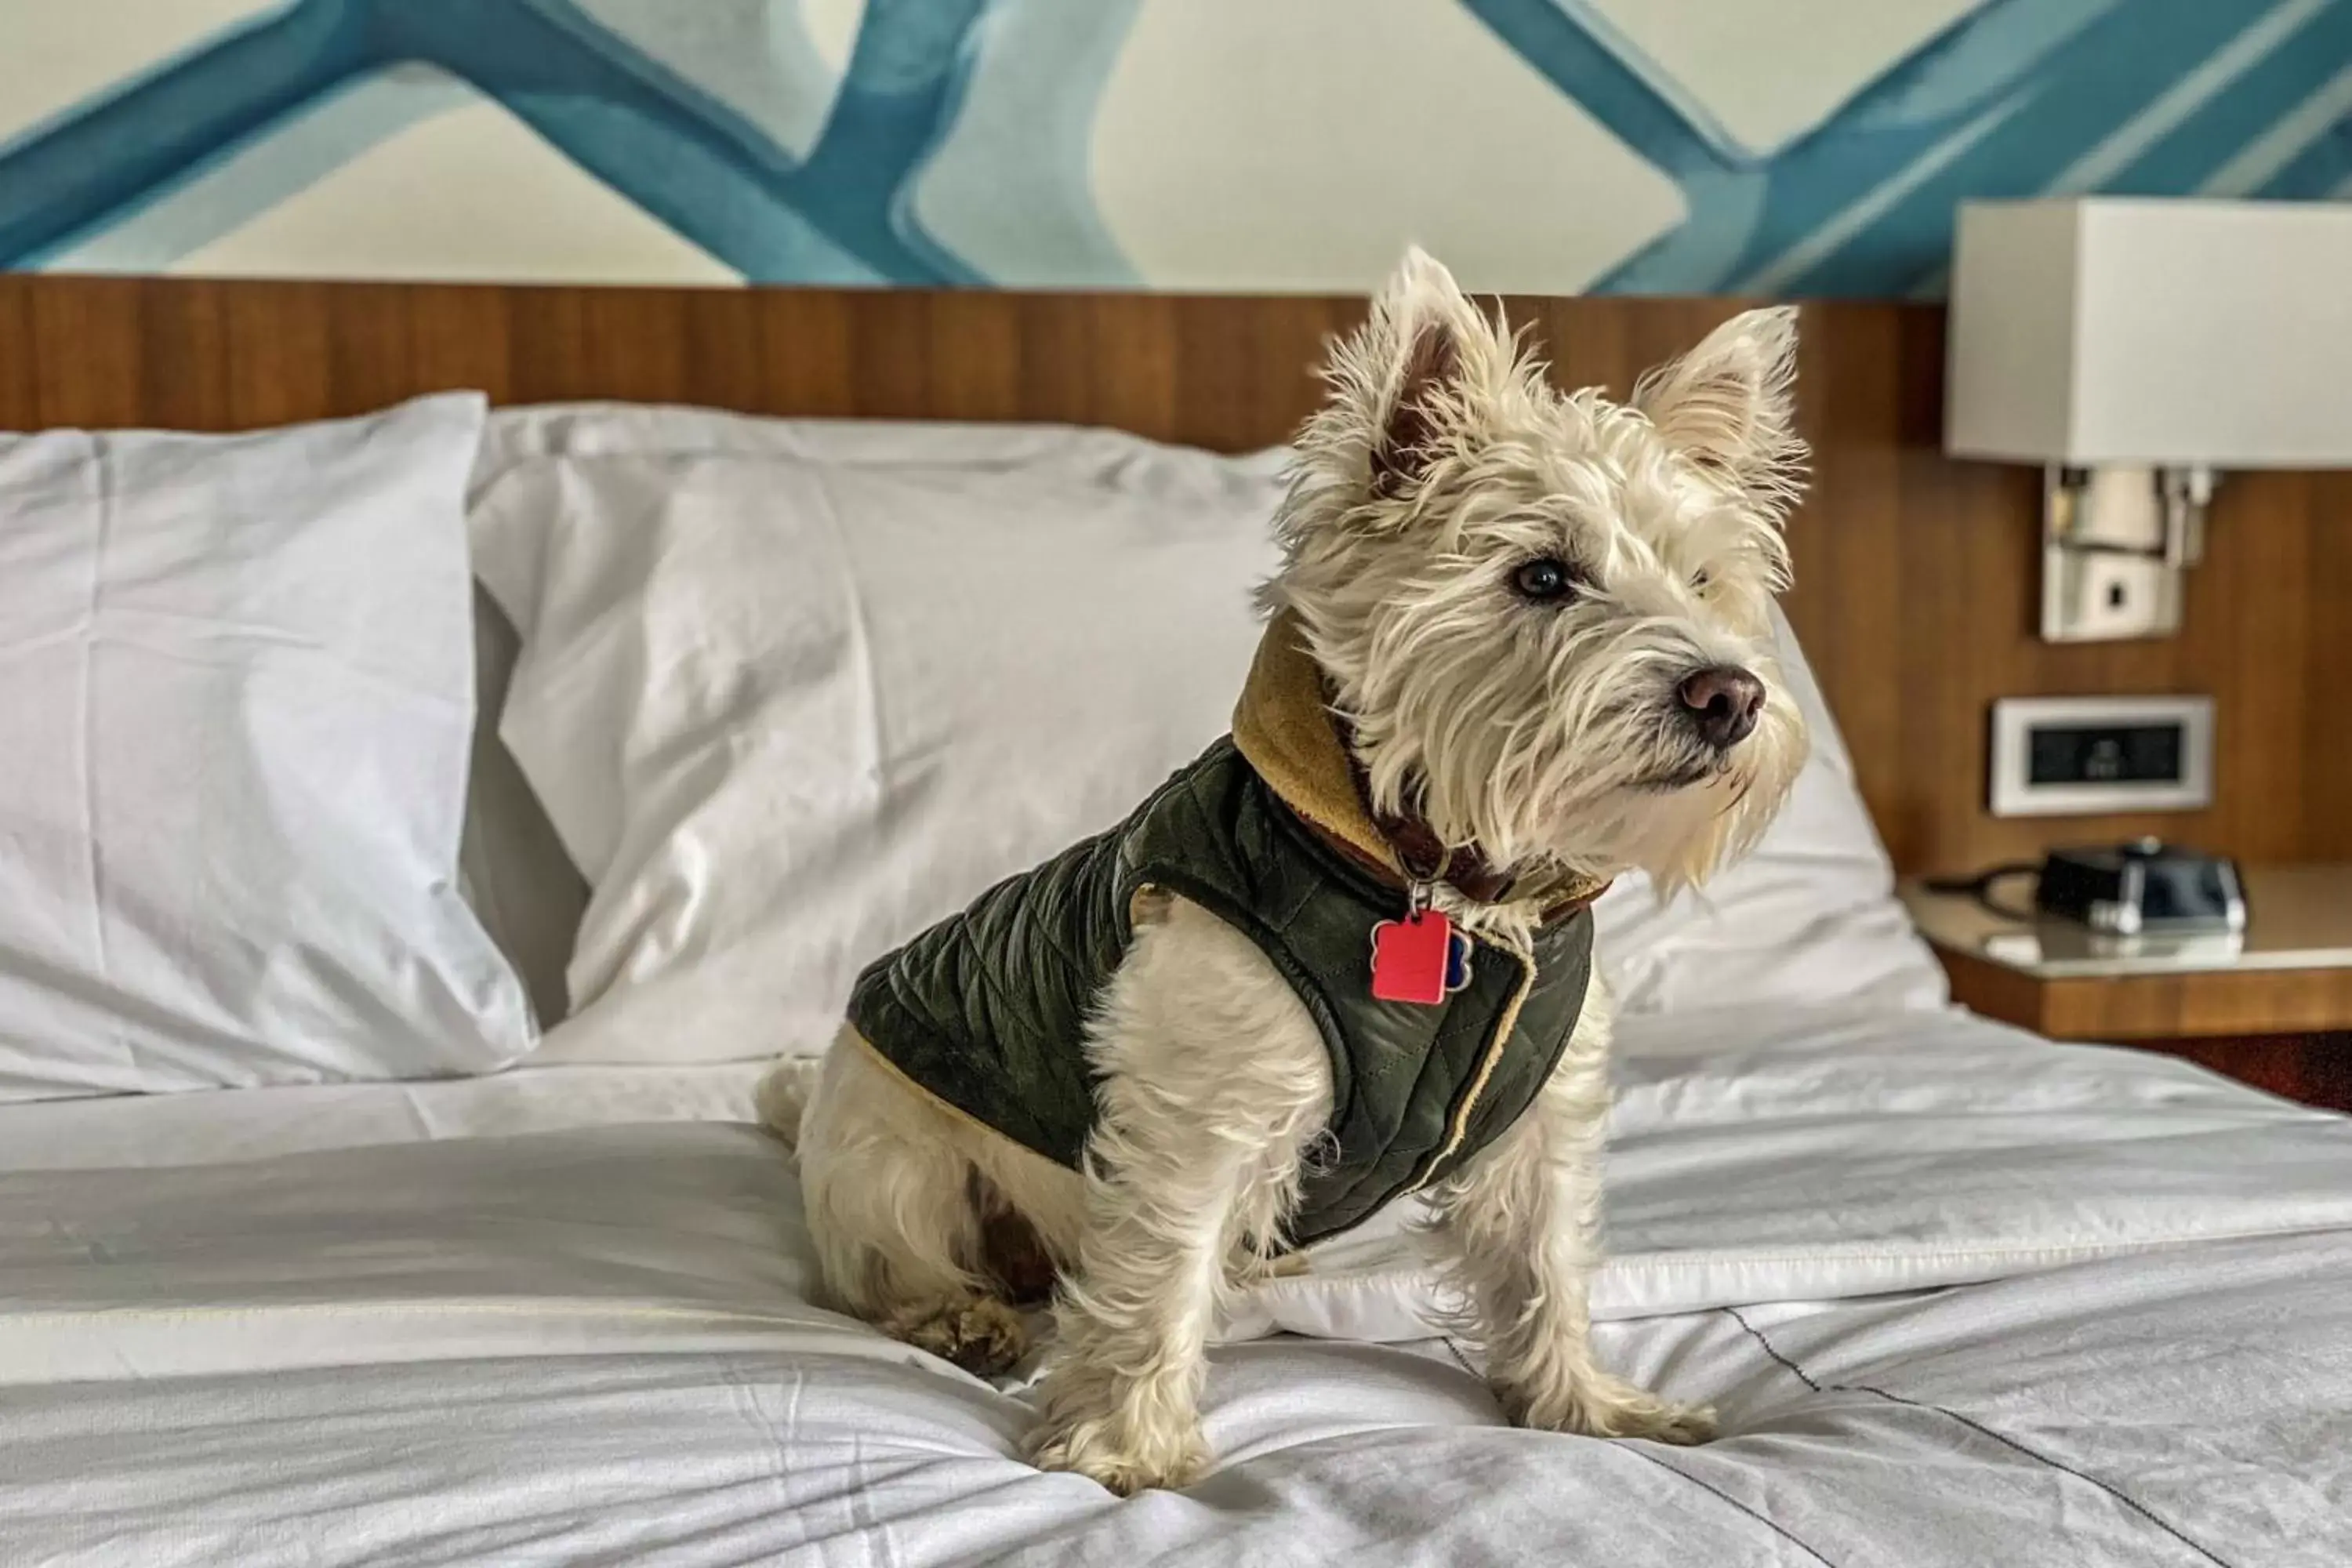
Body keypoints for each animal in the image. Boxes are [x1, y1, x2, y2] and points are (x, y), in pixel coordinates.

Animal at [762, 251, 1806, 1504]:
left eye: (1703, 580)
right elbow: (1159, 1272)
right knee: (885, 1263)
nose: (1727, 694)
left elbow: (1545, 1265)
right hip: (889, 1149)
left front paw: (1588, 1409)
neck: (1449, 892)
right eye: (1543, 575)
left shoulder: (1537, 1125)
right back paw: (959, 1315)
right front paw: (1127, 1448)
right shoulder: (1201, 1107)